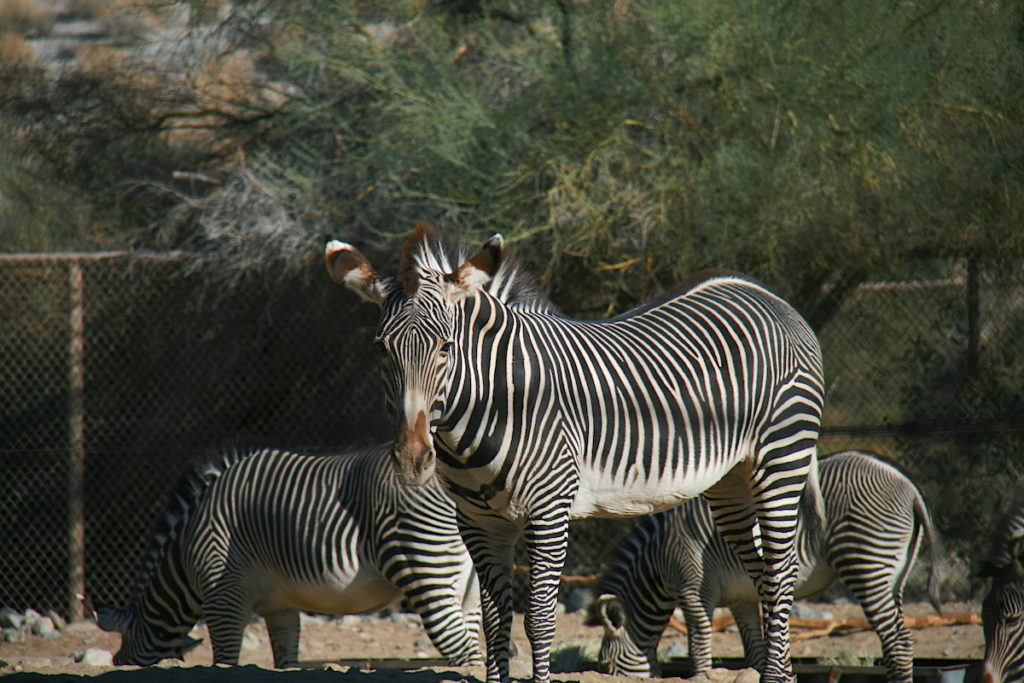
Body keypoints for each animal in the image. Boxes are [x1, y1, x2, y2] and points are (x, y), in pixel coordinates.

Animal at [93, 448, 483, 667]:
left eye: (125, 656)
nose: (117, 663)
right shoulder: (280, 608)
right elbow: (286, 658)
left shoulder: (223, 597)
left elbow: (225, 661)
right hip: (468, 580)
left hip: (424, 563)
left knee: (460, 648)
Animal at [325, 228, 823, 683]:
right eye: (381, 348)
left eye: (447, 347)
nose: (413, 459)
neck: (495, 402)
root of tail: (761, 291)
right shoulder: (480, 521)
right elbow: (494, 621)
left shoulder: (549, 509)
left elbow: (539, 620)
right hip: (731, 481)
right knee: (762, 572)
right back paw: (782, 673)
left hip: (782, 458)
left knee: (781, 572)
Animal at [593, 450, 942, 679]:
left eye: (606, 669)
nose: (604, 671)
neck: (657, 558)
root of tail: (908, 485)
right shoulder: (741, 599)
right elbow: (756, 650)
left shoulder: (692, 588)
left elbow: (699, 644)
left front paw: (700, 676)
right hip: (893, 571)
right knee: (901, 637)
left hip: (865, 562)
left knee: (897, 641)